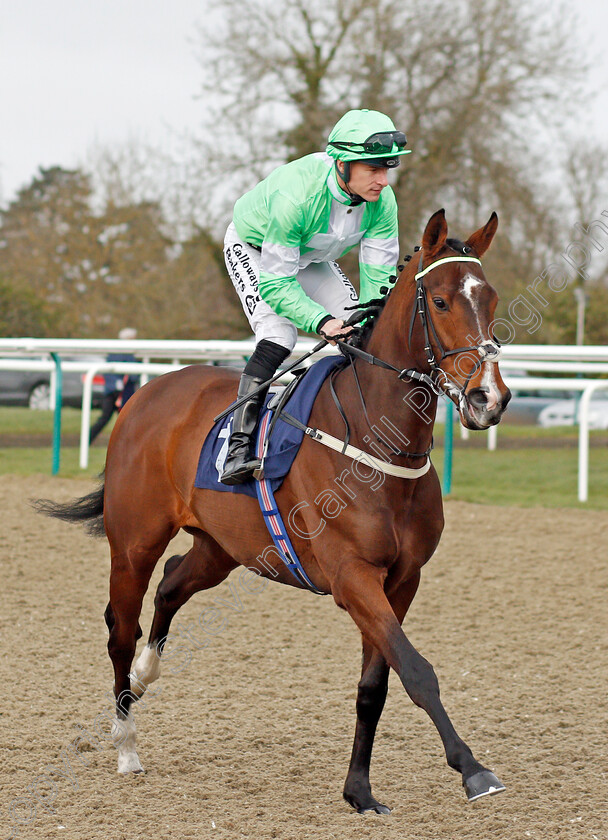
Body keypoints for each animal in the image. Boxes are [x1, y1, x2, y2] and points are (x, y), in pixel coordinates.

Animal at [36, 208, 512, 812]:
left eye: (491, 298)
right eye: (444, 302)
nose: (489, 399)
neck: (378, 439)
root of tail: (145, 393)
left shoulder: (402, 580)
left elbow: (376, 685)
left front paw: (359, 791)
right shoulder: (352, 576)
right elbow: (417, 670)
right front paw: (473, 769)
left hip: (224, 547)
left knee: (172, 584)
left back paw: (146, 672)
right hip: (135, 541)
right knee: (121, 627)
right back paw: (126, 744)